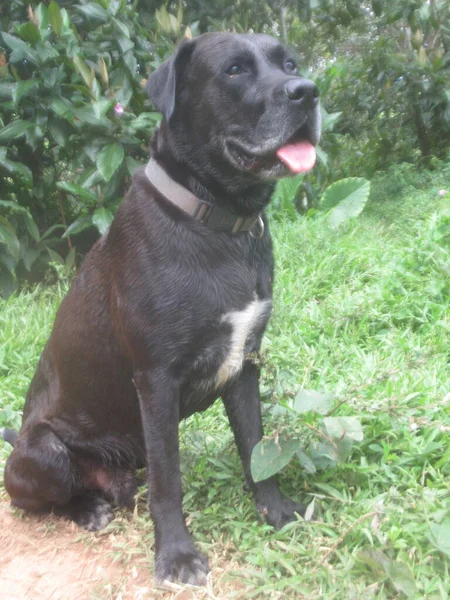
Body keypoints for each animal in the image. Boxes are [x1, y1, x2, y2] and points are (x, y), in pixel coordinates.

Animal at [3, 34, 320, 584]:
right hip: (42, 451)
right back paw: (87, 508)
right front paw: (176, 555)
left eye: (289, 63)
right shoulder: (156, 380)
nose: (308, 90)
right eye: (234, 70)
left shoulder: (244, 366)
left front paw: (276, 512)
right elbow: (168, 482)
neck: (218, 223)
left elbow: (257, 448)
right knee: (46, 500)